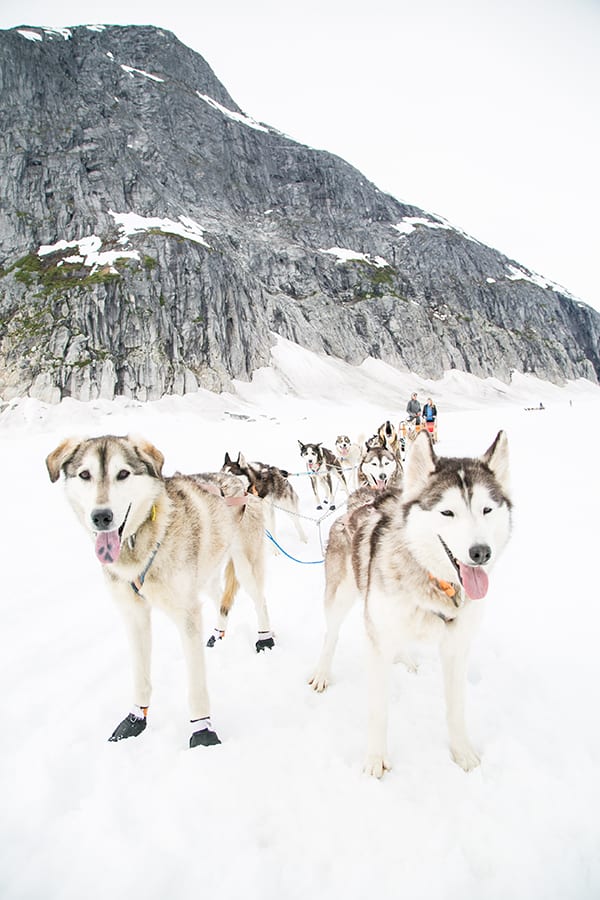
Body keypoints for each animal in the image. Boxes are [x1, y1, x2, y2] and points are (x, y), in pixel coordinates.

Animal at [47, 436, 272, 752]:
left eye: (123, 473)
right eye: (85, 474)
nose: (101, 517)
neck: (139, 542)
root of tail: (238, 481)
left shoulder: (187, 614)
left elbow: (196, 685)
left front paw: (202, 730)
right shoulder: (134, 615)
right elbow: (140, 676)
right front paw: (135, 720)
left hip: (245, 567)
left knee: (259, 599)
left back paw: (265, 638)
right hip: (206, 575)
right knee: (221, 600)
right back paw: (217, 633)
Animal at [310, 428, 510, 772]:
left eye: (486, 510)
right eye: (447, 512)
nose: (481, 553)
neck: (433, 582)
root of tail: (363, 499)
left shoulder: (457, 647)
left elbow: (456, 708)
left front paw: (463, 755)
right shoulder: (377, 643)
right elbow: (379, 711)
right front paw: (375, 761)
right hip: (340, 596)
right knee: (331, 634)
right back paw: (323, 673)